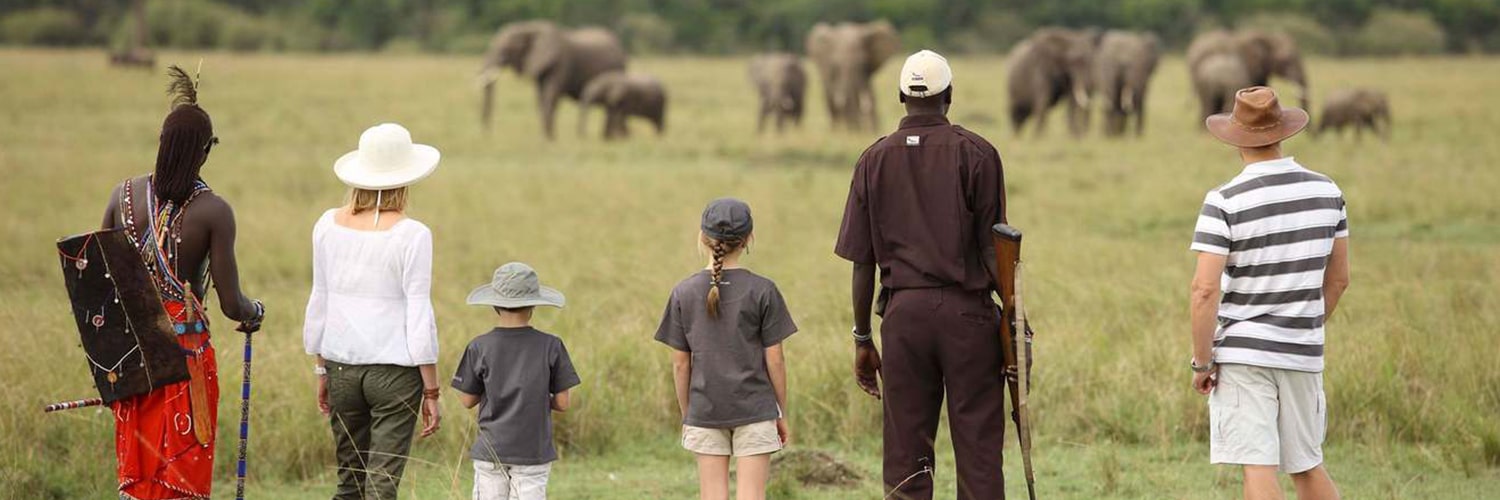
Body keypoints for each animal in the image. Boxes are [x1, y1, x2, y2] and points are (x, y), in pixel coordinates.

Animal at [477, 20, 624, 138]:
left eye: (506, 49)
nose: (487, 135)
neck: (530, 27)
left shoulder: (561, 63)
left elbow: (551, 96)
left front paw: (549, 141)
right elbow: (540, 99)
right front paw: (546, 140)